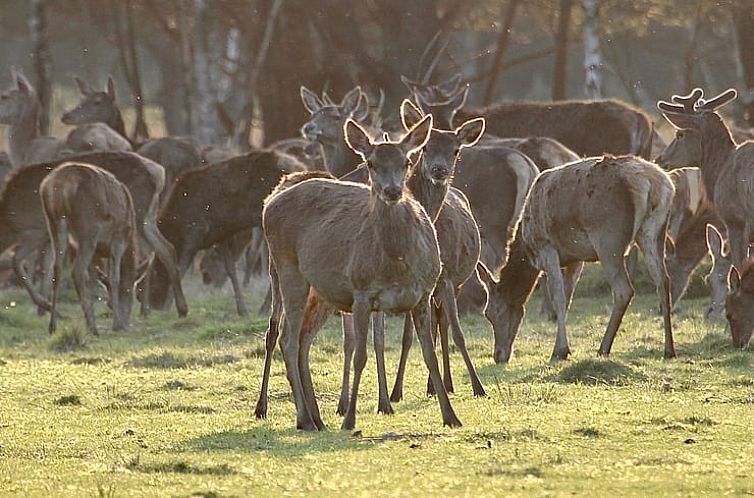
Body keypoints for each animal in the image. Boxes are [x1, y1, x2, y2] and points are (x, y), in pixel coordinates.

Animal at [40, 163, 138, 334]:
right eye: (130, 294)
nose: (127, 325)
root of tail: (61, 185)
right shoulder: (118, 239)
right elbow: (114, 278)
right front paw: (116, 324)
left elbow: (92, 280)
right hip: (88, 228)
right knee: (77, 270)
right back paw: (93, 328)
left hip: (54, 223)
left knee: (57, 268)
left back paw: (53, 326)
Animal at [262, 115, 462, 430]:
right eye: (370, 163)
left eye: (407, 161)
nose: (392, 191)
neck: (397, 261)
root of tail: (269, 202)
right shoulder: (361, 292)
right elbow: (360, 354)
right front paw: (351, 418)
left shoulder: (423, 294)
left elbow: (428, 355)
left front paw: (451, 416)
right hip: (286, 269)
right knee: (286, 337)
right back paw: (302, 417)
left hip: (321, 292)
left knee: (303, 339)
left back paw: (316, 417)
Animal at [472, 156, 672, 362]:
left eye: (491, 313)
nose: (498, 355)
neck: (526, 248)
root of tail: (651, 182)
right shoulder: (576, 258)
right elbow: (568, 298)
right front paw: (560, 347)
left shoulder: (547, 248)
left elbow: (559, 298)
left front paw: (560, 351)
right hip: (654, 231)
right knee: (663, 280)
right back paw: (668, 349)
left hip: (608, 237)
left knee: (623, 290)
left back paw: (603, 348)